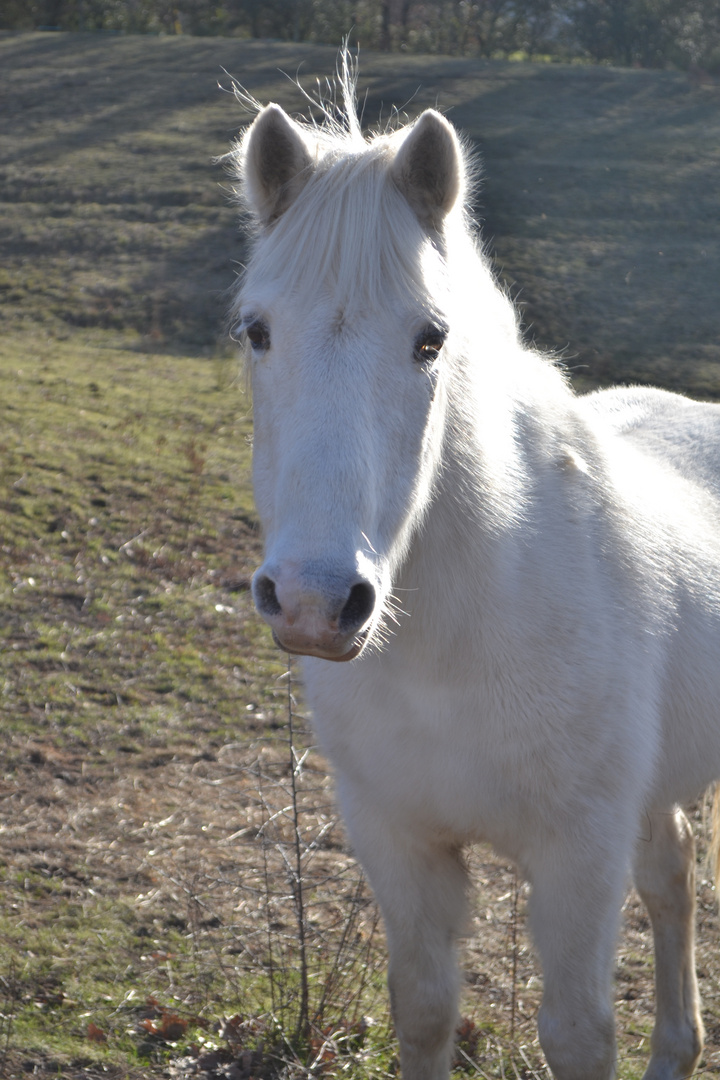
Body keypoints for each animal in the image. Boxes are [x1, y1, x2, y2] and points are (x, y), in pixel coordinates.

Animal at [227, 78, 720, 1080]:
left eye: (430, 339)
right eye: (257, 330)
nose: (314, 603)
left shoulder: (577, 858)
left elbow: (577, 1035)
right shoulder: (400, 842)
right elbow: (423, 1012)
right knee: (671, 875)